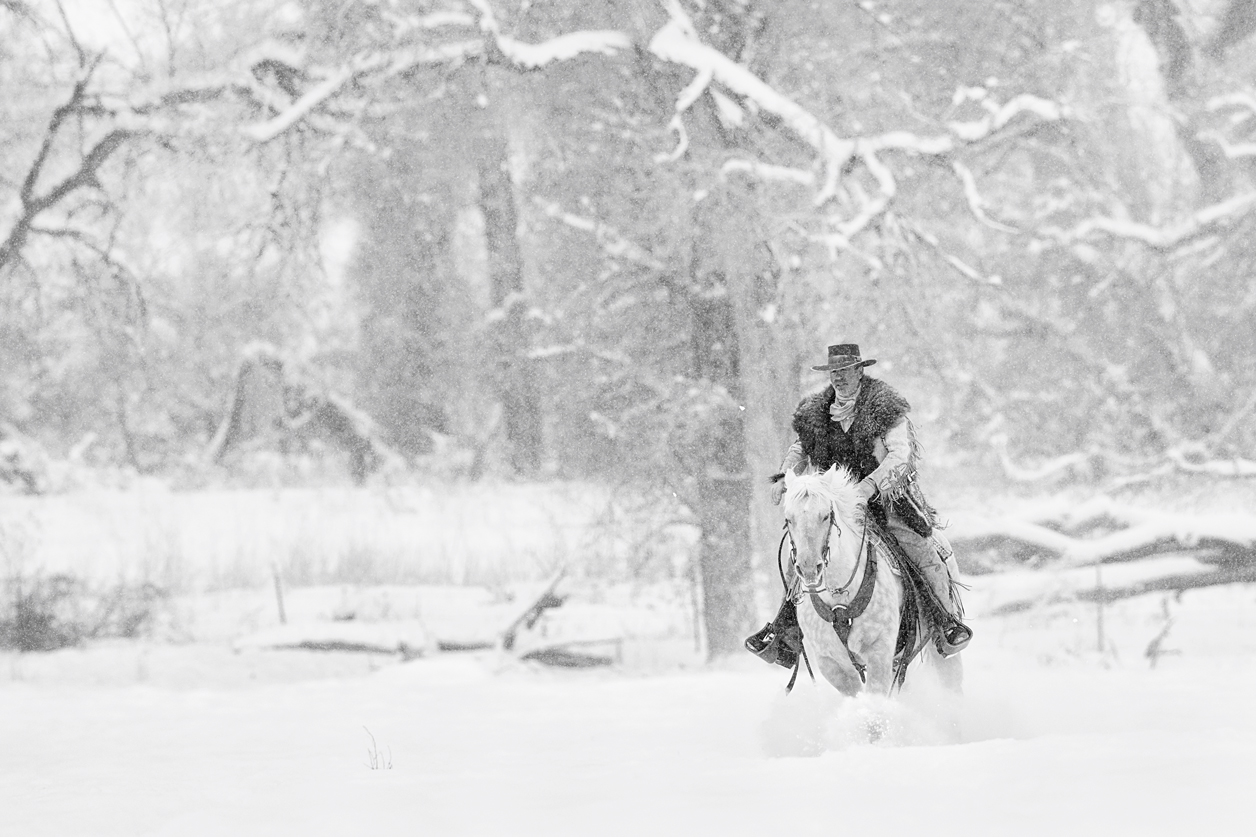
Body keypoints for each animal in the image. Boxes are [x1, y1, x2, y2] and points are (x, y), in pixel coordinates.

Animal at [778, 465, 964, 693]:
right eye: (789, 519)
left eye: (826, 515)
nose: (809, 568)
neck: (839, 597)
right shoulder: (831, 663)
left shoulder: (879, 651)